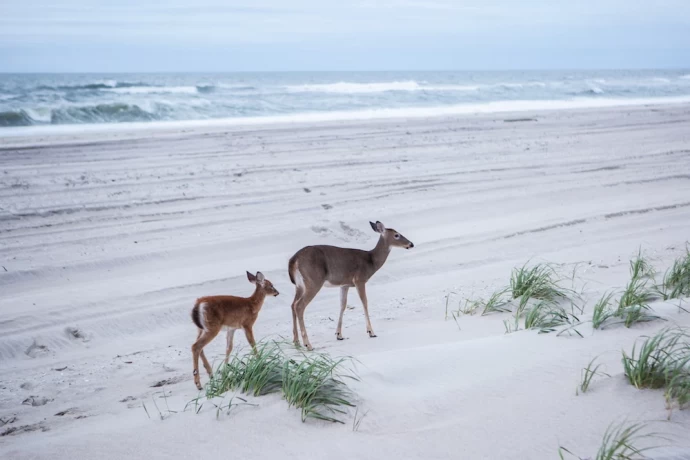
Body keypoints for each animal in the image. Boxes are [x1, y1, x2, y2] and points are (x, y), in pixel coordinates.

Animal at [286, 221, 412, 350]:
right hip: (314, 280)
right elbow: (364, 302)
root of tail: (293, 260)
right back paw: (308, 344)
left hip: (299, 285)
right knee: (299, 306)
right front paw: (371, 332)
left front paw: (339, 334)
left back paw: (296, 341)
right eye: (397, 235)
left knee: (292, 305)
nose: (411, 244)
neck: (371, 261)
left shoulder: (344, 284)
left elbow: (343, 305)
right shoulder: (359, 279)